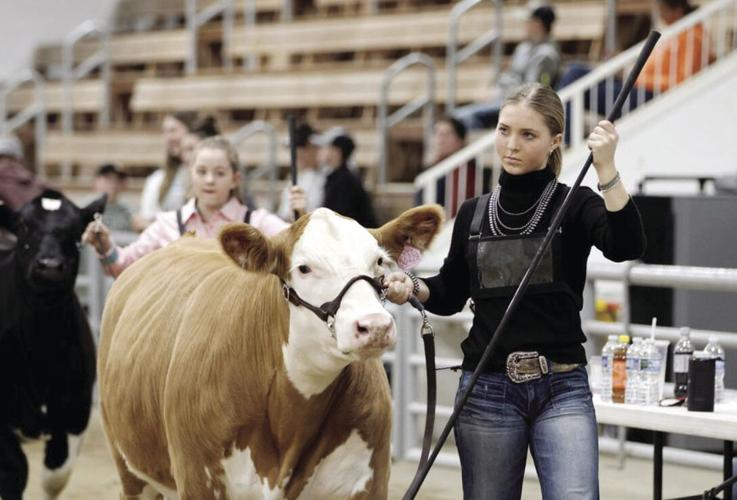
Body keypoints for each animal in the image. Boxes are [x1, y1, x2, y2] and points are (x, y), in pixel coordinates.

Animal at [0, 189, 106, 498]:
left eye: (75, 231)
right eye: (23, 226)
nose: (49, 266)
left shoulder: (76, 412)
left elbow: (55, 476)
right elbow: (15, 470)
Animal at [98, 205, 442, 498]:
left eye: (379, 261)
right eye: (304, 268)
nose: (374, 326)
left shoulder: (368, 480)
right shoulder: (197, 478)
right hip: (128, 468)